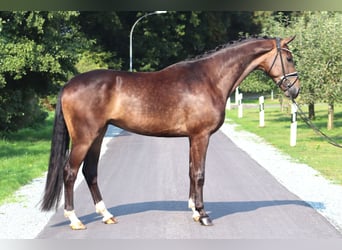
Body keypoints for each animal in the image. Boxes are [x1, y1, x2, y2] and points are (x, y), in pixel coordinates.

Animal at [41, 36, 300, 229]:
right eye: (289, 57)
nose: (295, 90)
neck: (209, 78)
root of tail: (69, 85)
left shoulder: (192, 138)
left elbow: (191, 172)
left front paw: (194, 211)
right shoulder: (201, 136)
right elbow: (199, 174)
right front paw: (203, 215)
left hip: (98, 135)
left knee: (90, 171)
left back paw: (106, 214)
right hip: (84, 139)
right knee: (70, 172)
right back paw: (75, 220)